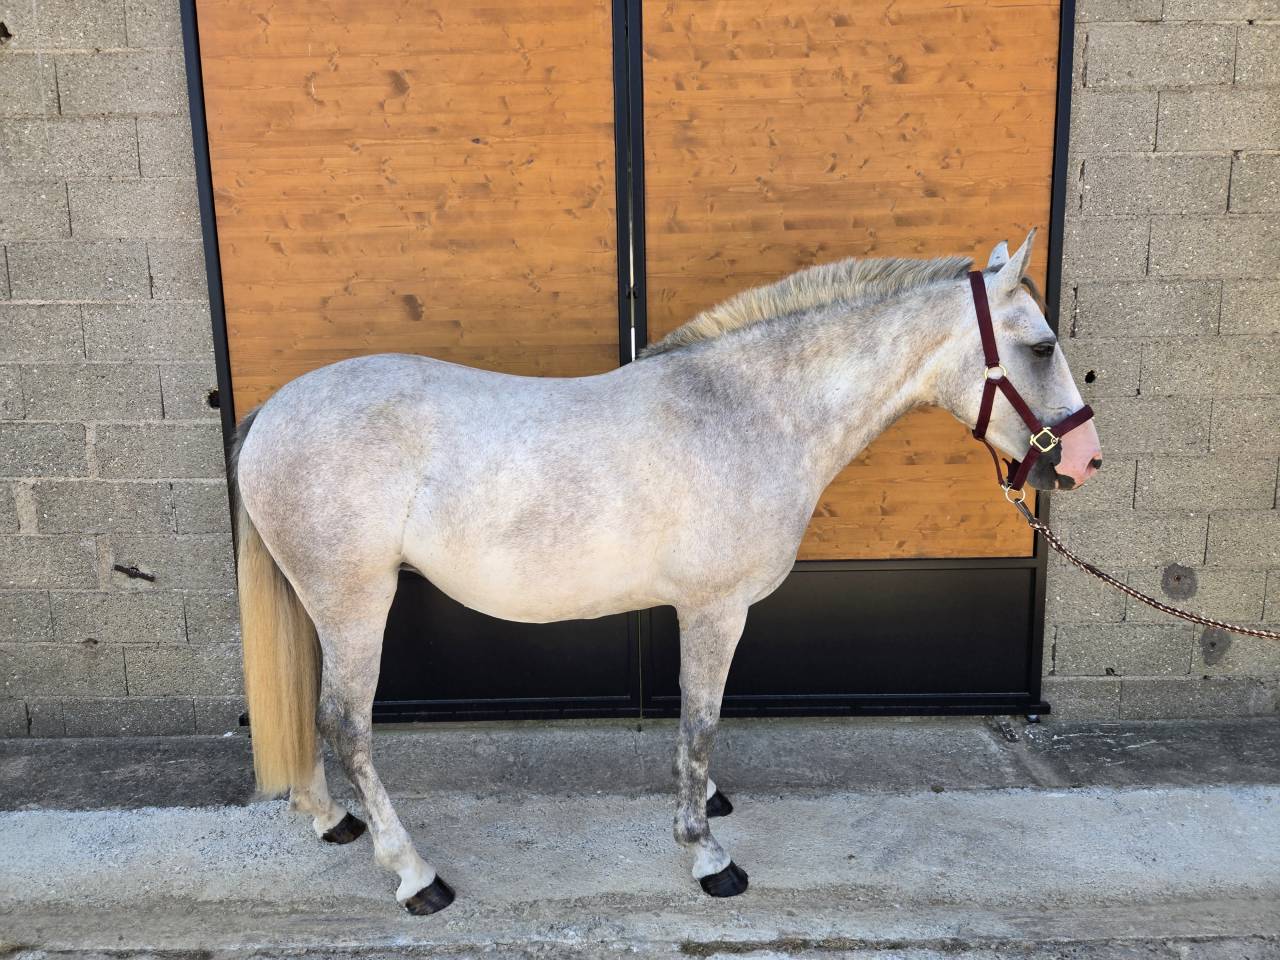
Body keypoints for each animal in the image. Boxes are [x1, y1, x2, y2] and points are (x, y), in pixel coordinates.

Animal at [230, 230, 1102, 914]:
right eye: (1040, 346)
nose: (1086, 460)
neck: (747, 410)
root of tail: (273, 411)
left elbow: (696, 721)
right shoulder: (715, 609)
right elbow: (701, 719)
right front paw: (708, 855)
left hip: (321, 604)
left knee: (315, 716)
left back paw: (331, 820)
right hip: (355, 601)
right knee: (347, 726)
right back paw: (416, 876)